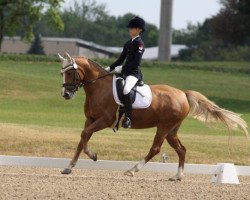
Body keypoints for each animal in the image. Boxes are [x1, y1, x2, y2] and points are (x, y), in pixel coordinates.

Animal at [58, 52, 248, 180]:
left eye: (70, 73)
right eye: (62, 73)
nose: (66, 94)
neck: (99, 88)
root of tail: (183, 93)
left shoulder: (104, 120)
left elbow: (84, 135)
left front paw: (87, 158)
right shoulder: (90, 119)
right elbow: (83, 138)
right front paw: (72, 165)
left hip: (164, 127)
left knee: (155, 149)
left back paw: (132, 170)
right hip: (171, 130)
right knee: (181, 149)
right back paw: (177, 176)